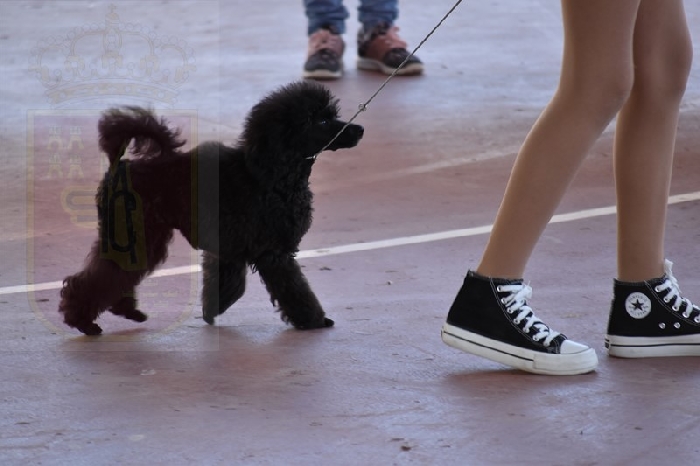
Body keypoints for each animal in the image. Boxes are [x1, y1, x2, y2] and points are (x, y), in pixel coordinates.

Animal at [58, 81, 364, 335]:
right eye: (321, 120)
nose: (358, 130)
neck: (271, 172)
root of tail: (118, 169)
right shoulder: (274, 253)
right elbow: (295, 289)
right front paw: (314, 321)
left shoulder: (229, 249)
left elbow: (227, 283)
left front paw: (212, 309)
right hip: (134, 231)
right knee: (99, 277)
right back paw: (83, 322)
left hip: (142, 235)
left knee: (116, 272)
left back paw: (126, 311)